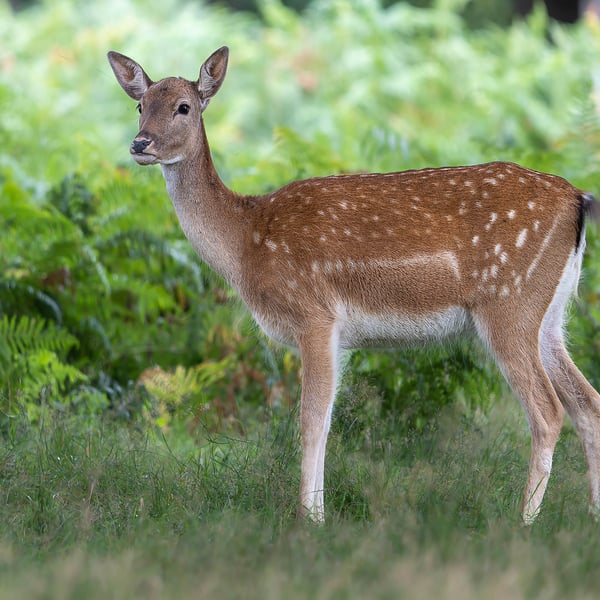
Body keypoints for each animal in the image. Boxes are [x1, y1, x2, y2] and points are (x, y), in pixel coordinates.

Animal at [108, 45, 600, 524]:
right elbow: (326, 420)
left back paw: (525, 521)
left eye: (184, 106)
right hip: (548, 315)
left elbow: (311, 420)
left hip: (509, 303)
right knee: (588, 403)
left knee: (548, 411)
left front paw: (310, 519)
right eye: (139, 105)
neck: (247, 241)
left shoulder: (315, 315)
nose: (140, 143)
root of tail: (577, 198)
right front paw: (317, 511)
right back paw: (590, 516)